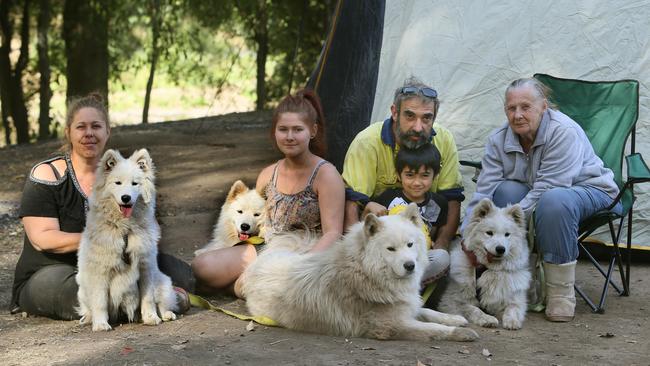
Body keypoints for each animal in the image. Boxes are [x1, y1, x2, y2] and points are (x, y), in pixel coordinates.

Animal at [76, 149, 177, 332]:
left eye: (135, 183)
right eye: (117, 183)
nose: (125, 198)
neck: (124, 229)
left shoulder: (145, 266)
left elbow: (148, 298)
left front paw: (151, 317)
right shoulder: (100, 272)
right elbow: (100, 301)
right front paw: (101, 324)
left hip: (163, 282)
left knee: (163, 302)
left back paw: (166, 315)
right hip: (82, 288)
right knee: (88, 307)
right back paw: (87, 318)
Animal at [240, 203, 478, 344]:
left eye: (410, 244)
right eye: (391, 249)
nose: (410, 265)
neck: (365, 272)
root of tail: (265, 258)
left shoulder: (405, 307)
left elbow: (429, 312)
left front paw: (456, 318)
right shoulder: (392, 326)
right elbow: (433, 328)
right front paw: (460, 333)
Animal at [438, 199, 528, 330]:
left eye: (507, 234)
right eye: (489, 233)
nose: (500, 249)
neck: (487, 269)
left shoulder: (514, 299)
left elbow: (512, 308)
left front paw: (512, 321)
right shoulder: (450, 301)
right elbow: (473, 309)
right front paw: (487, 318)